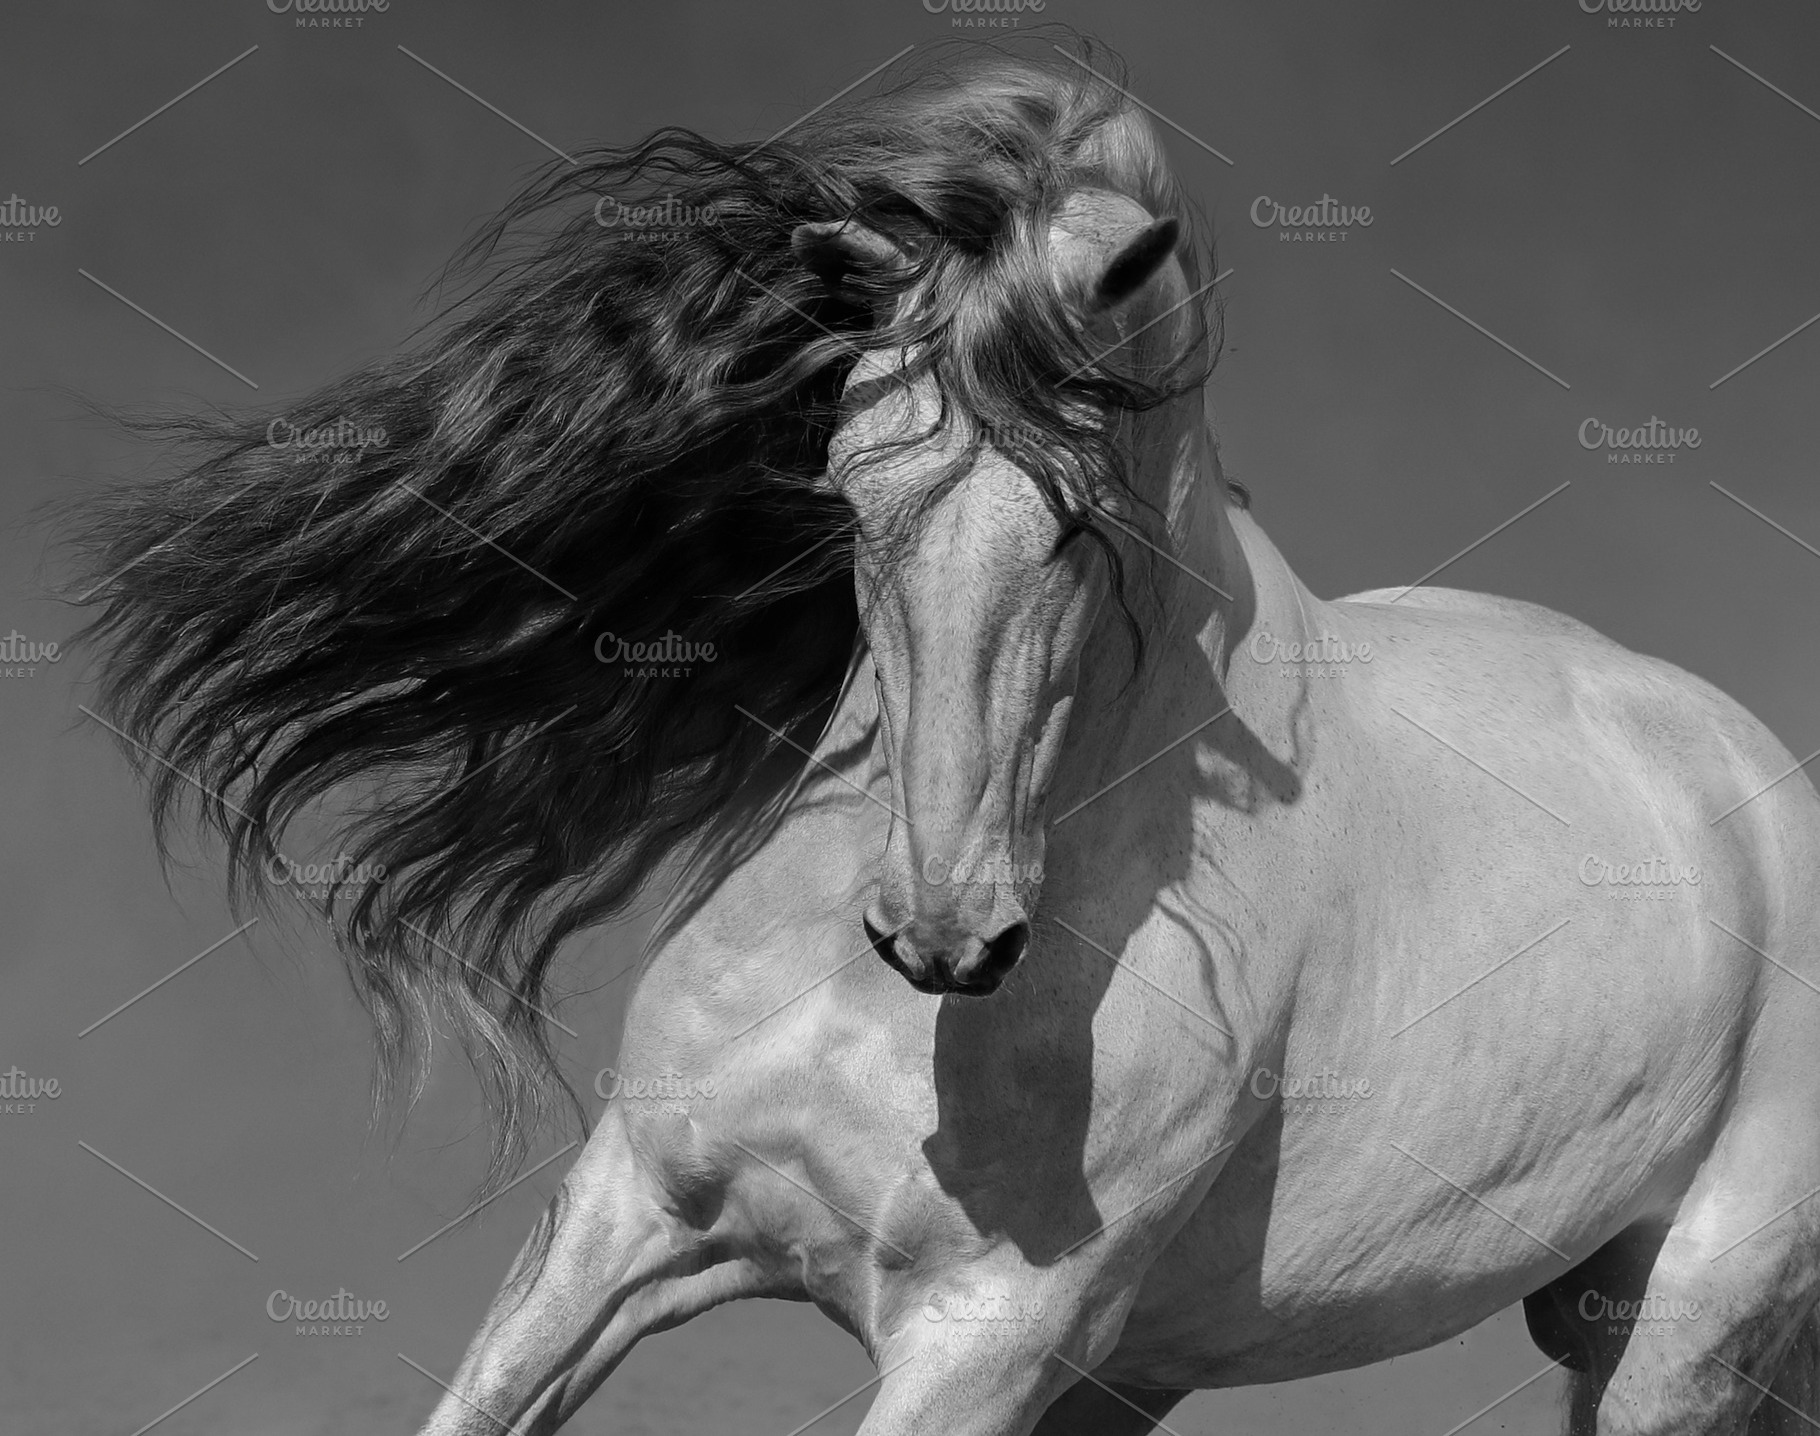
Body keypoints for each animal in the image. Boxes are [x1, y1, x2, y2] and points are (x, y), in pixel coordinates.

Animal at [70, 41, 1820, 1436]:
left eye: (1082, 520)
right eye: (844, 485)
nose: (946, 932)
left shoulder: (981, 1342)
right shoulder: (627, 1218)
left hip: (1679, 1324)